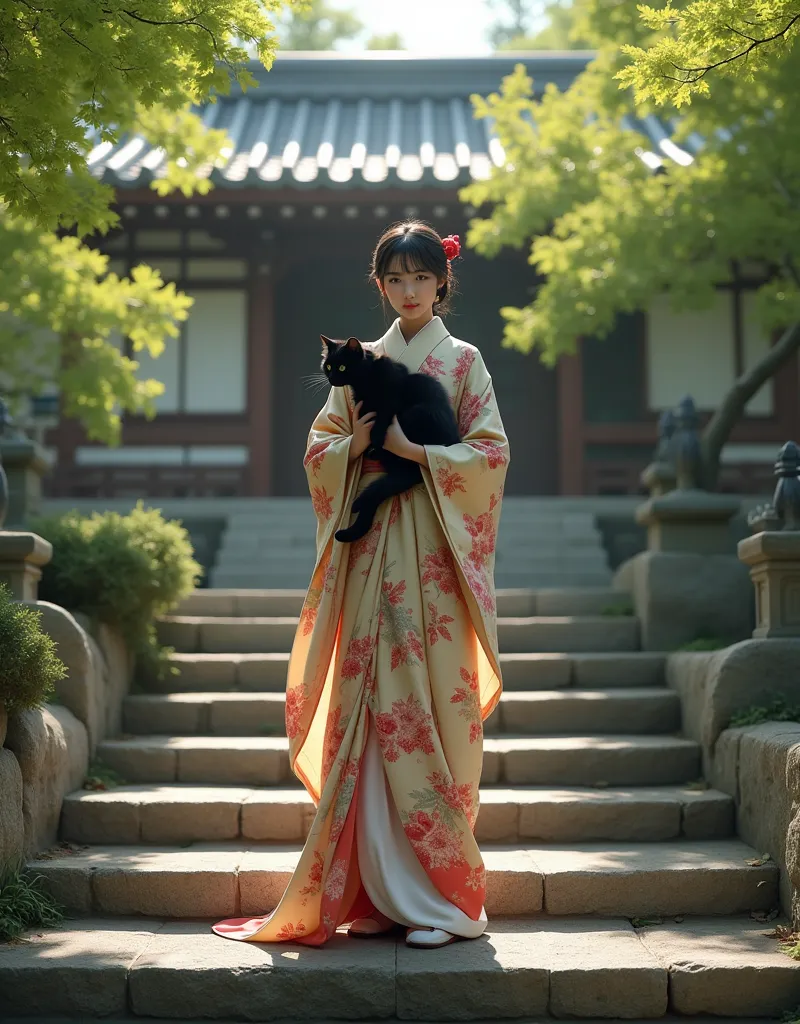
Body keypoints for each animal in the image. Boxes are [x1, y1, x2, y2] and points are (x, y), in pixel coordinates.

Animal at [319, 335, 458, 544]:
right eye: (328, 366)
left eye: (342, 367)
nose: (332, 378)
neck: (364, 382)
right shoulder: (363, 407)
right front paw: (370, 445)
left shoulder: (391, 398)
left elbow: (383, 416)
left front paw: (375, 438)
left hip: (418, 413)